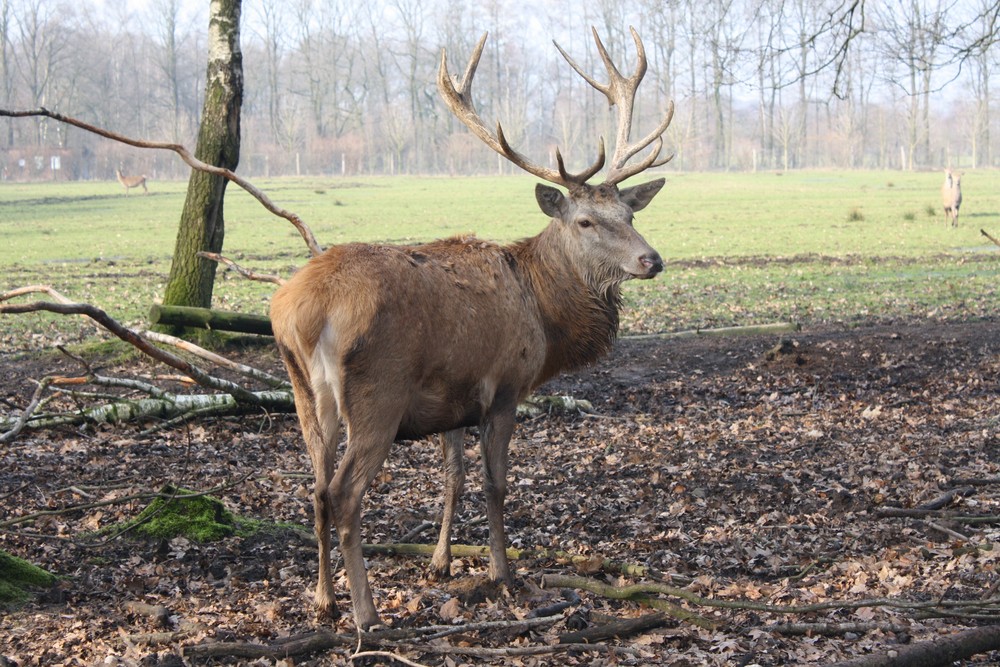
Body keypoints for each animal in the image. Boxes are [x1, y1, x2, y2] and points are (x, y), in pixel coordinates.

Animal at [270, 27, 676, 632]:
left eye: (629, 215)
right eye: (585, 221)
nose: (652, 260)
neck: (543, 312)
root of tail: (304, 309)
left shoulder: (449, 398)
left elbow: (453, 478)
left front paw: (440, 562)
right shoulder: (505, 385)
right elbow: (495, 484)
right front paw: (503, 573)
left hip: (303, 388)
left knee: (316, 488)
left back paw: (323, 600)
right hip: (377, 391)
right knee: (343, 493)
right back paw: (366, 613)